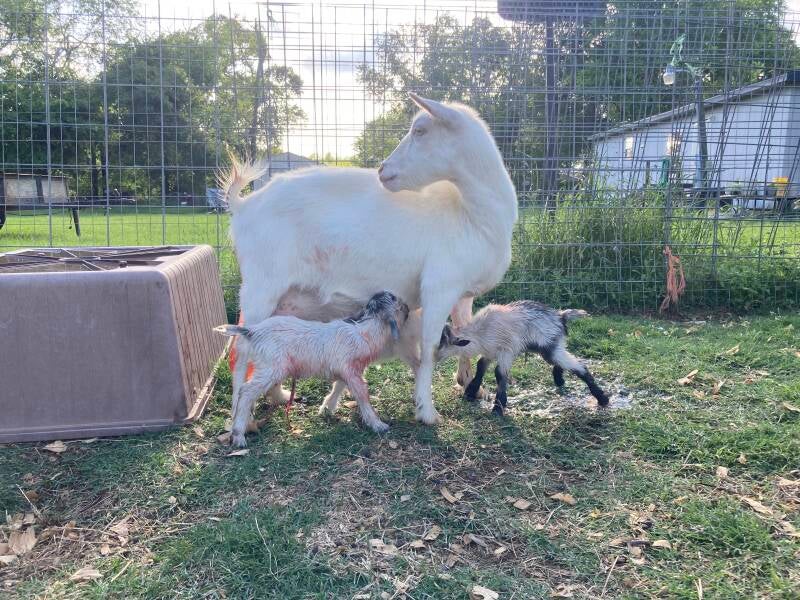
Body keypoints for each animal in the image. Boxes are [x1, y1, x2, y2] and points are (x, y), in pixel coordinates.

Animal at [215, 291, 409, 447]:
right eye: (396, 301)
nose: (408, 307)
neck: (364, 331)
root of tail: (252, 331)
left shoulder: (346, 369)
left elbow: (339, 385)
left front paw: (327, 408)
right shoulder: (350, 370)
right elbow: (362, 394)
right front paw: (378, 424)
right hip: (271, 368)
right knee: (246, 391)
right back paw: (239, 435)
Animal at [224, 93, 517, 426]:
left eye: (420, 131)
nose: (382, 170)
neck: (469, 213)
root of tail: (244, 205)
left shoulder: (462, 292)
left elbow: (465, 330)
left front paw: (468, 384)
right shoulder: (439, 285)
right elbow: (430, 347)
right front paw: (427, 411)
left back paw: (277, 395)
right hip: (261, 283)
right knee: (240, 349)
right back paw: (240, 419)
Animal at [437, 301, 609, 415]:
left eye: (441, 344)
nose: (434, 359)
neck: (481, 332)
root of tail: (561, 316)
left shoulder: (506, 351)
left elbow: (499, 374)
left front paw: (498, 407)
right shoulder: (490, 353)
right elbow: (480, 367)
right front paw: (470, 393)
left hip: (550, 346)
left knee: (579, 366)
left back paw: (602, 398)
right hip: (552, 347)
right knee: (562, 361)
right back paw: (559, 379)